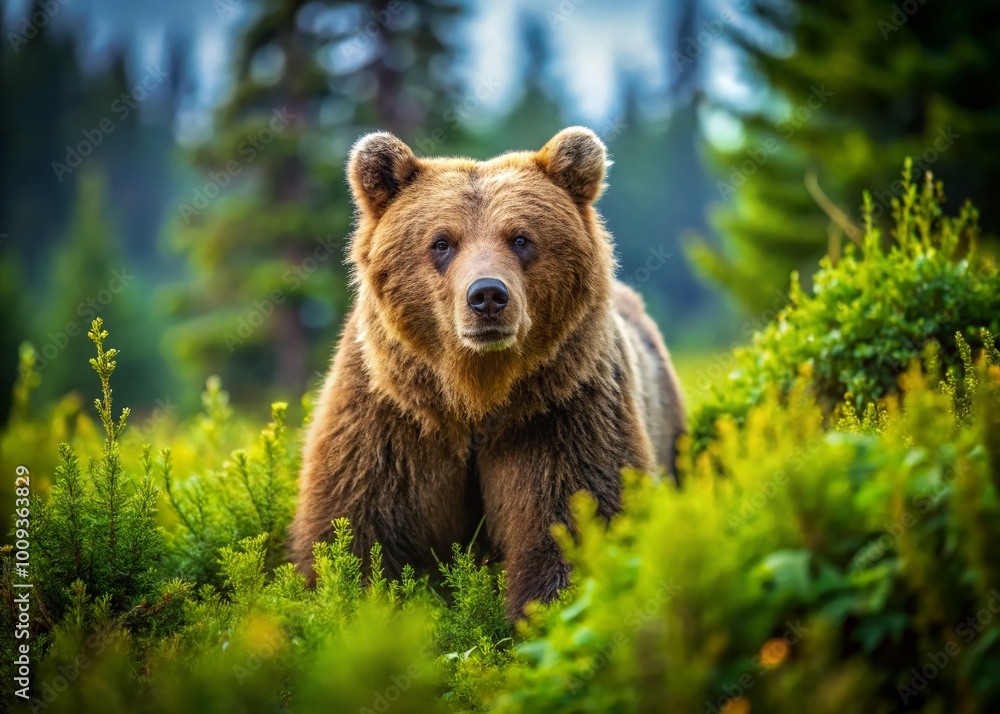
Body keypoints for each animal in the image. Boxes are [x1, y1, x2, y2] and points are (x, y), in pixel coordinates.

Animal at [289, 127, 686, 618]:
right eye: (442, 242)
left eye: (520, 238)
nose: (487, 296)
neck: (475, 395)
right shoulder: (388, 420)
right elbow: (353, 527)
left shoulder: (560, 413)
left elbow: (573, 519)